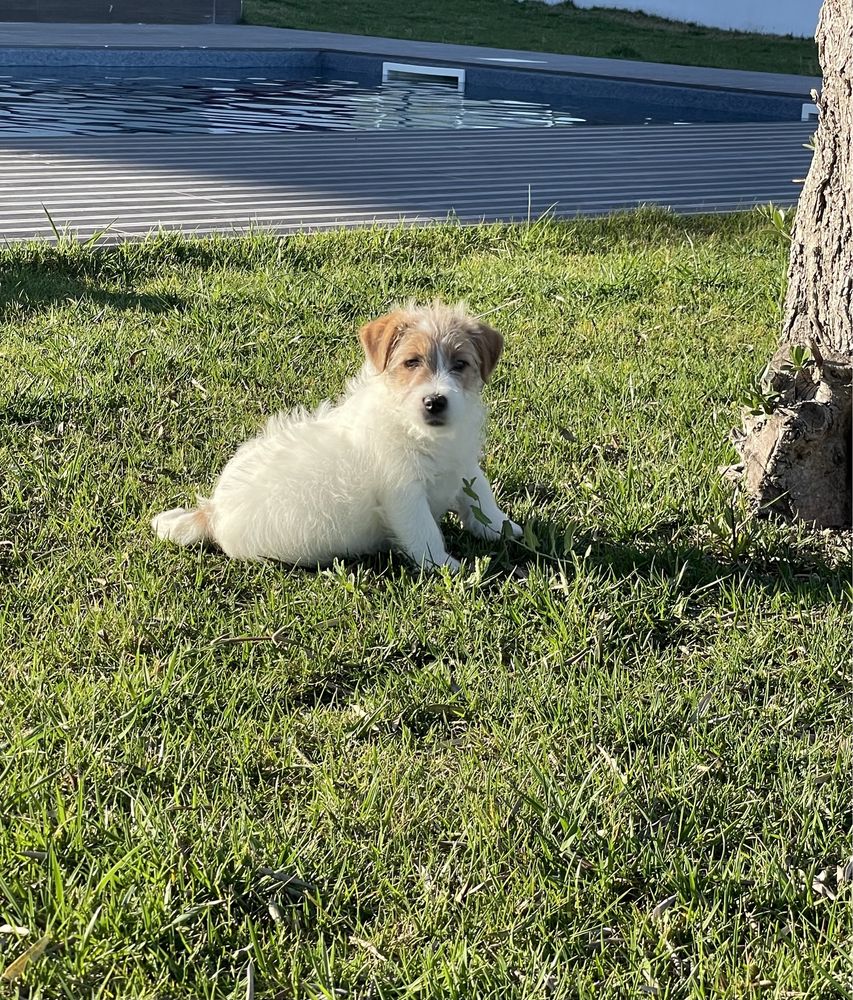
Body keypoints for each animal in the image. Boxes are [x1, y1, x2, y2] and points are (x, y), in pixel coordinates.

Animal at [152, 298, 520, 572]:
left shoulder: (464, 466)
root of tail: (212, 512)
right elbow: (424, 532)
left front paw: (500, 527)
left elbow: (481, 495)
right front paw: (445, 566)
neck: (417, 431)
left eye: (460, 364)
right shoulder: (404, 493)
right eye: (412, 362)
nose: (435, 401)